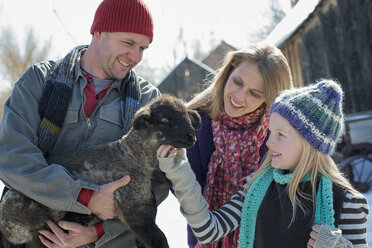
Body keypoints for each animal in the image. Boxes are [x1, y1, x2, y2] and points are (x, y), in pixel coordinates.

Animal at [0, 94, 202, 248]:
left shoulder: (145, 208)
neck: (132, 155)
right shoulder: (135, 210)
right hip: (34, 223)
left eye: (187, 115)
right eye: (165, 120)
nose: (191, 136)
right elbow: (159, 239)